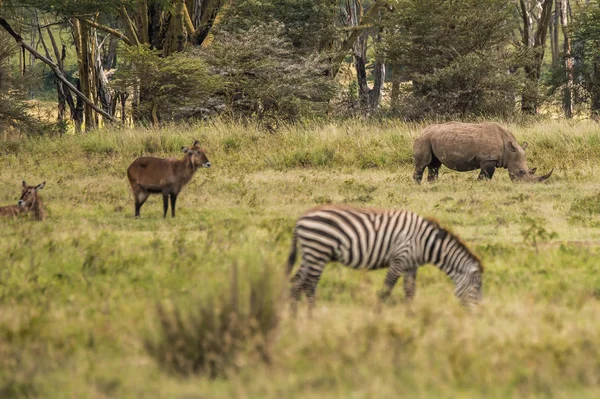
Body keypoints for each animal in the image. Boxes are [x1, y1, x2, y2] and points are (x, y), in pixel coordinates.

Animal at [286, 206, 482, 316]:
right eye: (476, 288)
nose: (477, 315)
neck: (426, 242)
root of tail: (300, 220)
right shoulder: (399, 259)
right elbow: (386, 290)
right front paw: (378, 314)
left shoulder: (411, 266)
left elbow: (410, 292)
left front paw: (411, 316)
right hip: (319, 250)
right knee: (310, 284)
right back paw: (312, 314)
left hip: (311, 254)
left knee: (297, 281)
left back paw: (294, 316)